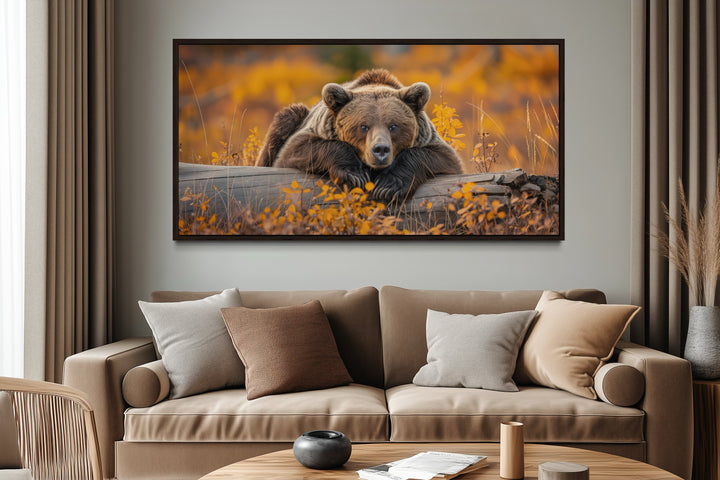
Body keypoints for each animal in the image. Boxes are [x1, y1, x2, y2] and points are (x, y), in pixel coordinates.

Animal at [256, 69, 463, 202]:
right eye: (363, 126)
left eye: (393, 126)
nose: (380, 150)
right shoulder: (314, 131)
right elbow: (294, 151)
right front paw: (354, 175)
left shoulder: (430, 140)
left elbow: (443, 158)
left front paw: (388, 185)